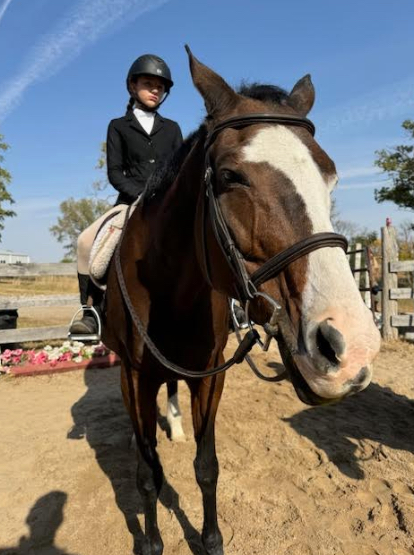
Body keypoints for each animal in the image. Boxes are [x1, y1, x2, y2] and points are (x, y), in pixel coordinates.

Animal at [101, 47, 382, 555]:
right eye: (231, 177)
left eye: (330, 178)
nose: (352, 349)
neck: (171, 289)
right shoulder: (133, 377)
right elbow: (148, 475)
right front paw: (151, 542)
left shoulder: (210, 377)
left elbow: (206, 467)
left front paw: (211, 539)